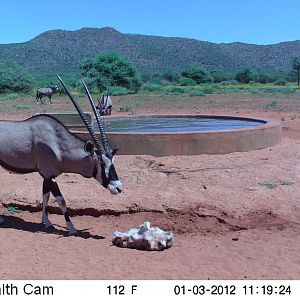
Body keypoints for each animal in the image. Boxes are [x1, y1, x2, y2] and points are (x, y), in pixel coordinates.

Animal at [0, 75, 122, 234]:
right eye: (102, 163)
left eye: (113, 162)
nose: (118, 188)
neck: (57, 141)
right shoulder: (50, 176)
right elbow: (61, 200)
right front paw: (71, 228)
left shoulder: (47, 175)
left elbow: (45, 196)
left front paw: (46, 222)